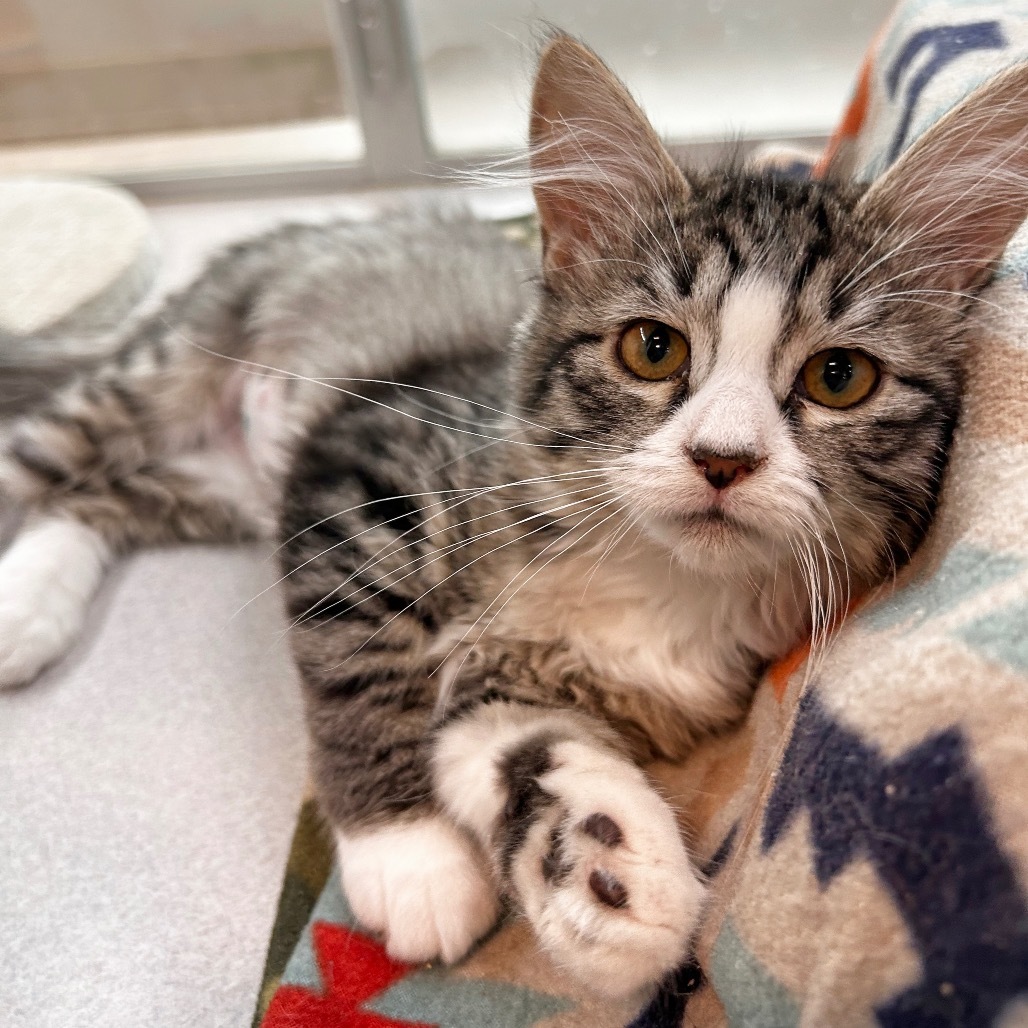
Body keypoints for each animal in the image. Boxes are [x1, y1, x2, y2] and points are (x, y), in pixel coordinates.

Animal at [2, 38, 1028, 995]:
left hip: (219, 490)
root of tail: (300, 228)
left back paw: (27, 613)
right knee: (42, 467)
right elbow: (357, 665)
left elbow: (522, 751)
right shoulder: (357, 467)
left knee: (95, 501)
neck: (647, 569)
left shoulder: (551, 681)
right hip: (161, 383)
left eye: (839, 377)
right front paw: (409, 851)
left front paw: (611, 872)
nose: (723, 459)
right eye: (653, 349)